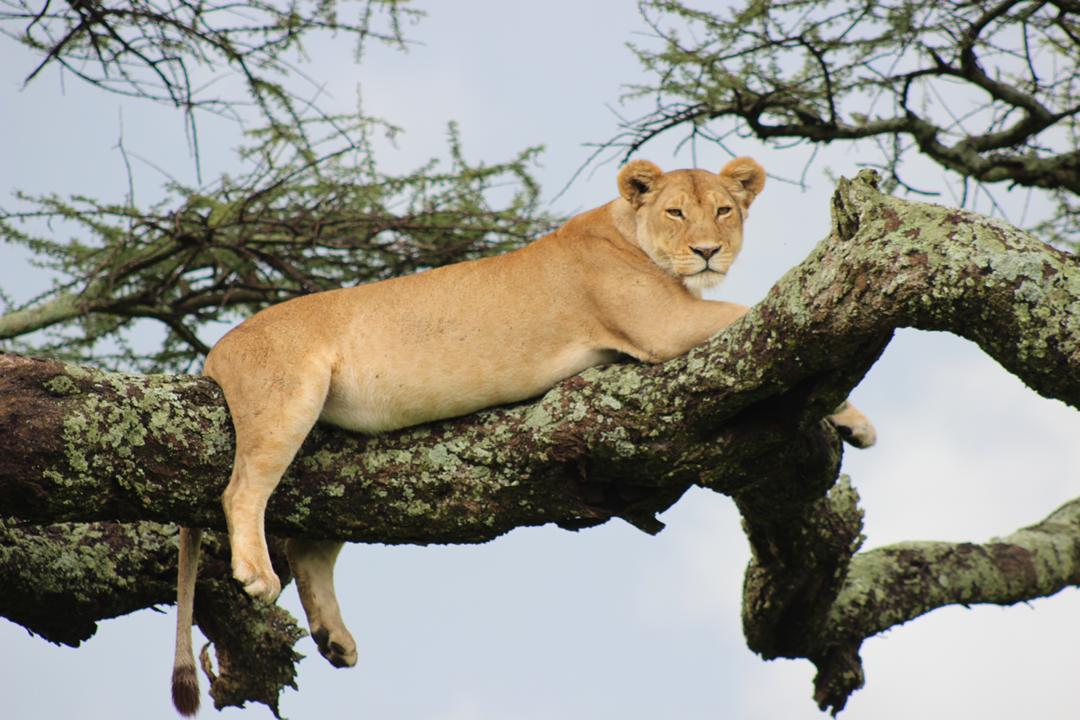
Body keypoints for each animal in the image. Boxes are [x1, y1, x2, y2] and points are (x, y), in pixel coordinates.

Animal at [171, 157, 875, 714]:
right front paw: (859, 417)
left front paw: (847, 419)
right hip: (288, 400)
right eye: (676, 212)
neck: (630, 231)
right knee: (242, 492)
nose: (708, 251)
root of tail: (214, 351)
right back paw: (257, 575)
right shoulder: (663, 326)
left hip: (338, 461)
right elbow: (760, 314)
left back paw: (333, 639)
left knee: (311, 543)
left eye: (725, 211)